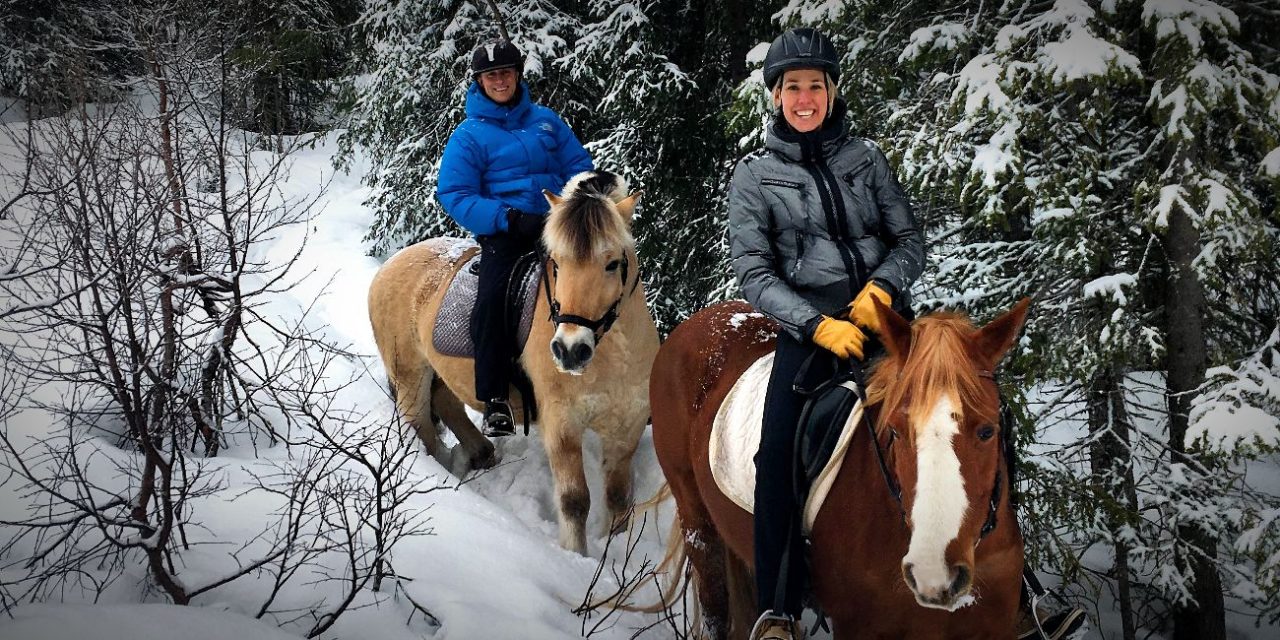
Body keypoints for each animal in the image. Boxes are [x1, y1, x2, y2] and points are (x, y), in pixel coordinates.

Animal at [363, 171, 655, 555]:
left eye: (612, 264)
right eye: (556, 264)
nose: (569, 350)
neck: (613, 355)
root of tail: (394, 262)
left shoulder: (627, 425)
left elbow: (619, 498)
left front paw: (615, 552)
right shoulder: (561, 422)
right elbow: (575, 500)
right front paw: (575, 555)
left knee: (447, 401)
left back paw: (482, 454)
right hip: (409, 371)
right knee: (420, 422)